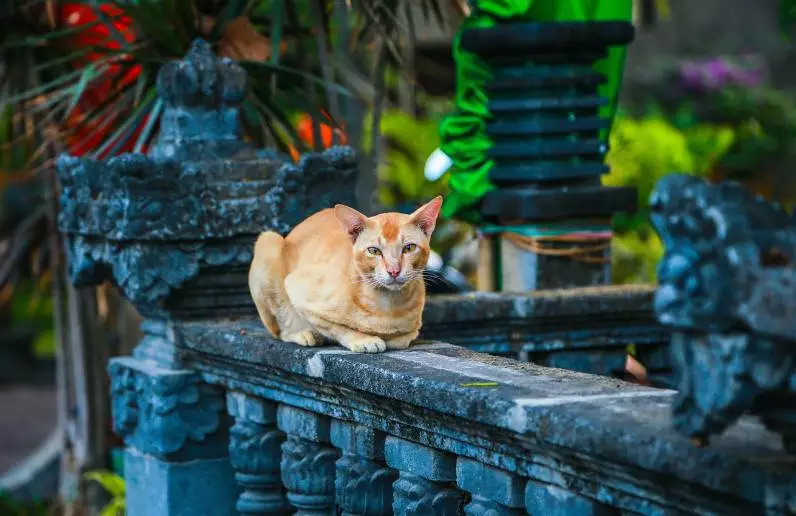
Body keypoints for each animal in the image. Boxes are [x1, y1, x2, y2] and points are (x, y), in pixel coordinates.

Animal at [250, 196, 442, 352]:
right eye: (374, 251)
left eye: (409, 248)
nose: (394, 270)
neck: (387, 306)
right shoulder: (297, 290)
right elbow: (337, 328)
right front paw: (364, 340)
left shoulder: (412, 328)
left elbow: (402, 338)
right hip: (268, 242)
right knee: (281, 329)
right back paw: (304, 334)